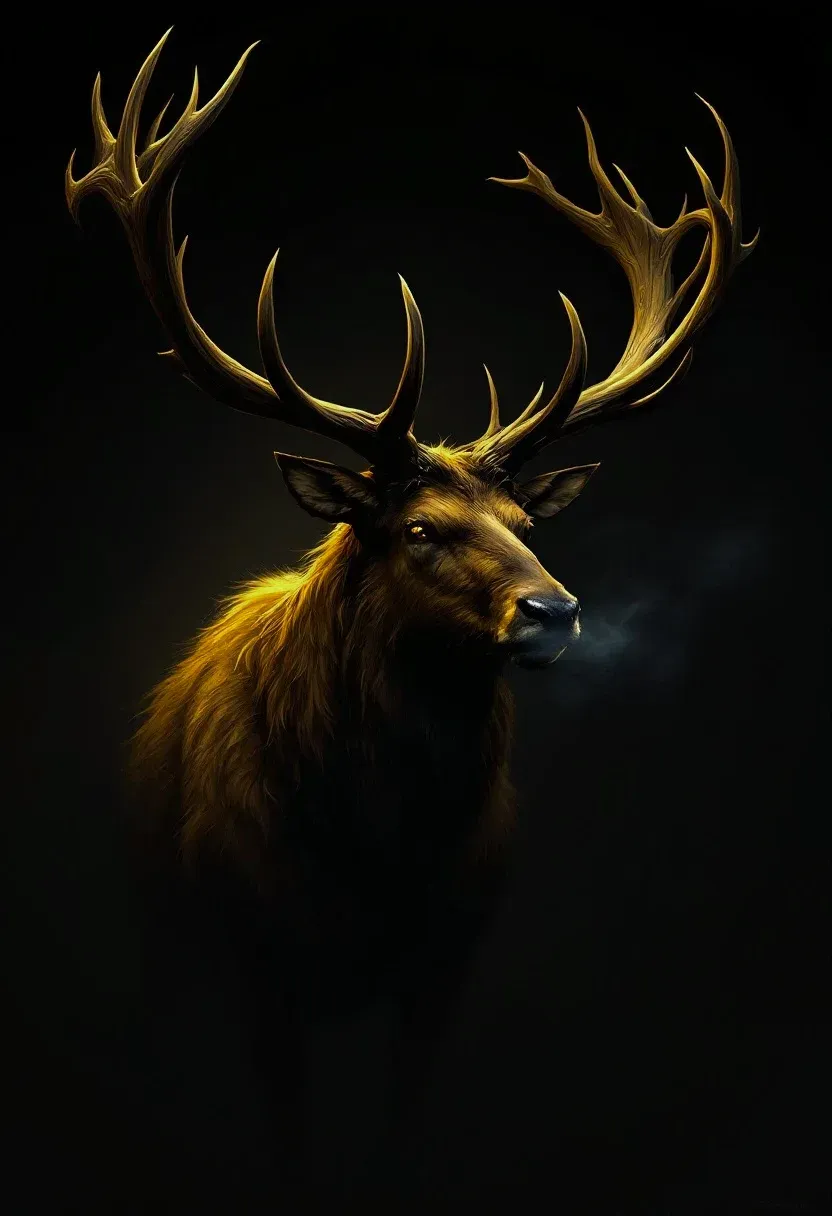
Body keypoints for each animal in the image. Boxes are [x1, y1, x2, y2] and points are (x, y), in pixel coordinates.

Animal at [65, 28, 756, 1205]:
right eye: (421, 528)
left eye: (525, 519)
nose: (554, 610)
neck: (380, 848)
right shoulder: (258, 965)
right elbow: (287, 1146)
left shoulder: (447, 966)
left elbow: (403, 1135)